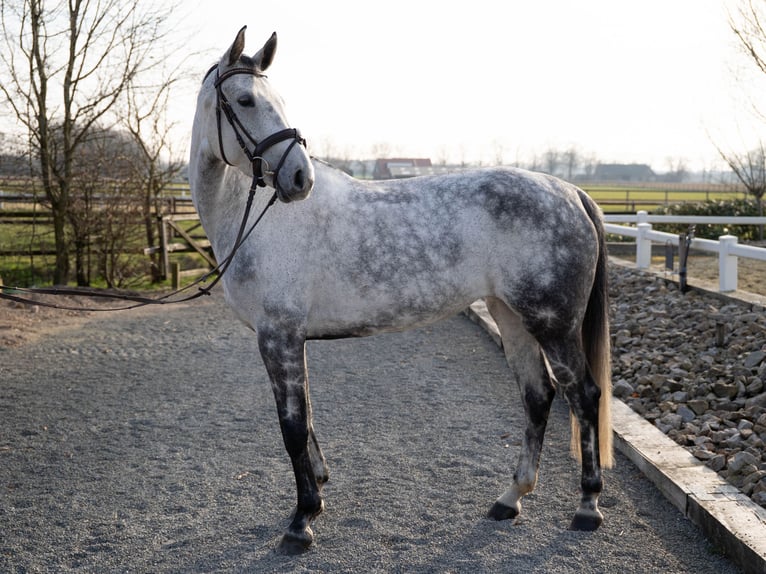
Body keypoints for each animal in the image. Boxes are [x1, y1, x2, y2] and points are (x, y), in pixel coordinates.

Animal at [189, 25, 616, 552]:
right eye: (246, 100)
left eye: (278, 100)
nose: (300, 178)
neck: (256, 221)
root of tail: (570, 192)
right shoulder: (288, 340)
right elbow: (306, 420)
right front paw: (318, 495)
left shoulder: (279, 336)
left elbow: (292, 427)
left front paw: (302, 520)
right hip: (511, 316)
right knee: (538, 396)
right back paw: (509, 499)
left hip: (552, 323)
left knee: (584, 396)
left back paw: (588, 506)